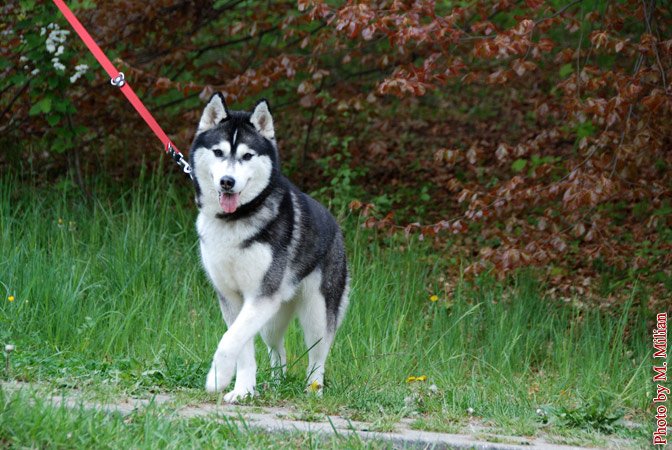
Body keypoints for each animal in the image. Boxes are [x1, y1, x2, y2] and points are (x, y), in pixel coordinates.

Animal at [189, 93, 350, 403]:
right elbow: (242, 346)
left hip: (317, 312)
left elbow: (229, 341)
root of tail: (335, 225)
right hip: (272, 320)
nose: (227, 182)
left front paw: (217, 378)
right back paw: (276, 382)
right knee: (279, 350)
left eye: (247, 156)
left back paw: (313, 389)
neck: (235, 220)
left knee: (318, 356)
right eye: (218, 152)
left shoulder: (261, 295)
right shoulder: (234, 299)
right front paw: (243, 390)